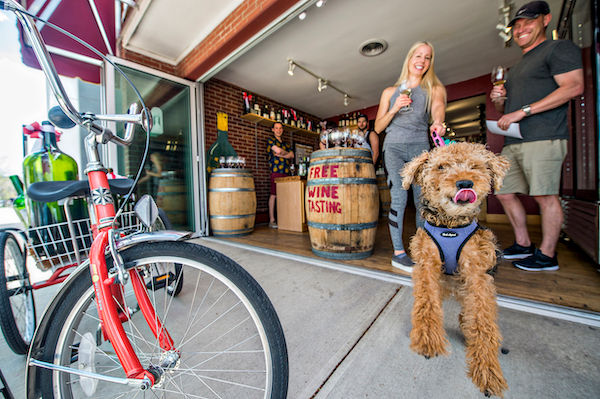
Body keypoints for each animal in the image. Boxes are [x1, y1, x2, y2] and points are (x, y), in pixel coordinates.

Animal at [404, 142, 510, 398]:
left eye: (476, 166)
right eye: (441, 167)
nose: (465, 183)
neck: (450, 226)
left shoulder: (477, 275)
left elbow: (483, 320)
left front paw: (487, 370)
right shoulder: (427, 265)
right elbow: (426, 304)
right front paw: (428, 339)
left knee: (469, 311)